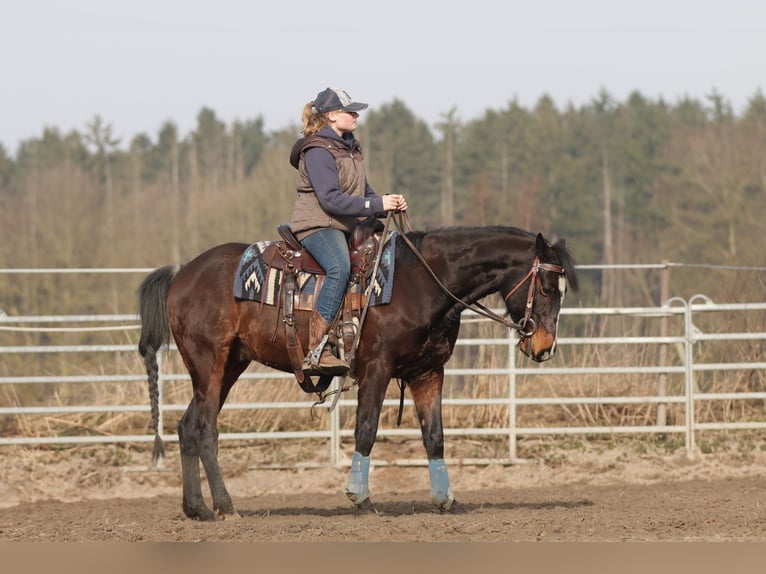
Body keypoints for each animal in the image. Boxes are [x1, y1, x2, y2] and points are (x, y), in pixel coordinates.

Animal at [137, 224, 578, 520]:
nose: (545, 348)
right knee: (205, 428)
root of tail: (181, 272)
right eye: (547, 288)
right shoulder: (377, 369)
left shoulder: (429, 373)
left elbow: (434, 436)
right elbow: (366, 429)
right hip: (210, 362)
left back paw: (196, 508)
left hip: (229, 364)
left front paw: (444, 499)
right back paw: (226, 507)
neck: (423, 282)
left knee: (186, 426)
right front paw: (360, 498)